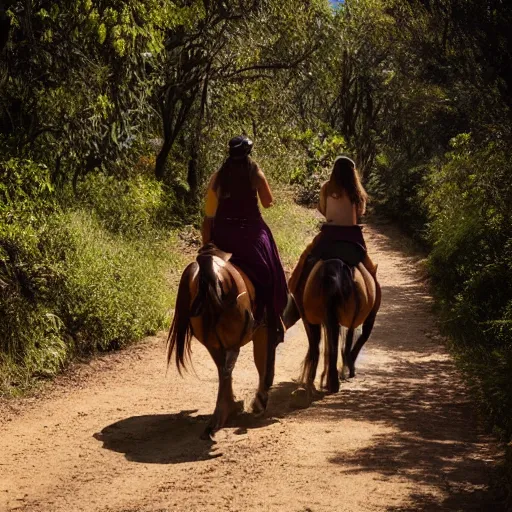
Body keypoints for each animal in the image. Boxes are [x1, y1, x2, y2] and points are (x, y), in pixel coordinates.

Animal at [166, 244, 278, 440]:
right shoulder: (262, 330)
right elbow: (261, 362)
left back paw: (220, 416)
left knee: (224, 370)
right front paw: (259, 402)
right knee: (230, 367)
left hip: (214, 342)